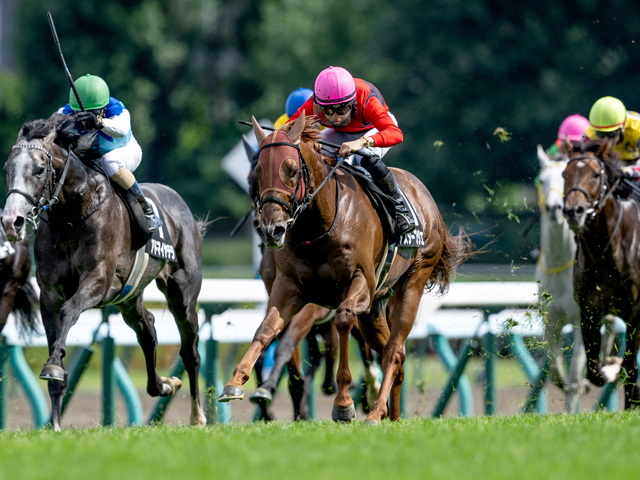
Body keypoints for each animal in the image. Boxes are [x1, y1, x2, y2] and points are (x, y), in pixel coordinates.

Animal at [219, 113, 464, 424]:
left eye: (292, 171)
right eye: (257, 174)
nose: (271, 230)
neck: (319, 225)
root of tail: (425, 195)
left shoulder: (354, 287)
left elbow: (342, 320)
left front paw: (344, 403)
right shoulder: (289, 287)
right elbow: (267, 329)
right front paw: (236, 383)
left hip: (413, 279)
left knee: (394, 351)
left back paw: (375, 411)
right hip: (373, 309)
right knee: (392, 353)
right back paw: (393, 416)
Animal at [564, 140, 640, 408]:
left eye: (596, 174)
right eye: (565, 174)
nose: (574, 211)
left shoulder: (635, 311)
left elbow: (631, 367)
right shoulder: (588, 310)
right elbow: (594, 371)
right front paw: (609, 367)